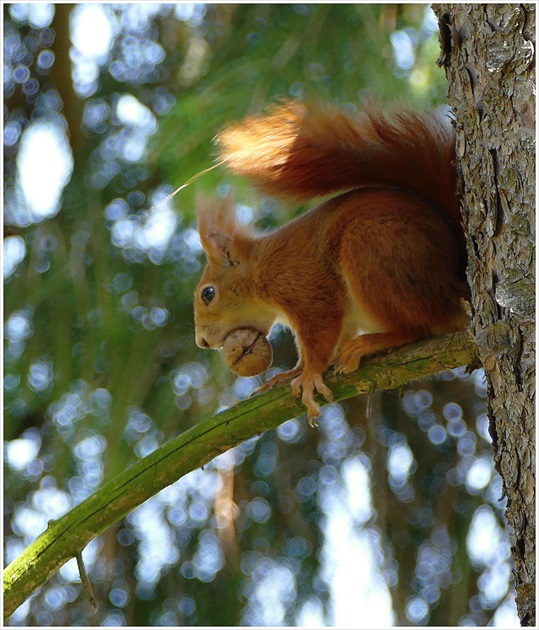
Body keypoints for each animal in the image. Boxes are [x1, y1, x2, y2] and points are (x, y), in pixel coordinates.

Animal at [193, 101, 468, 428]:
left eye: (208, 294)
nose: (201, 342)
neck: (261, 269)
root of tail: (454, 283)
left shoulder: (303, 286)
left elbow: (321, 334)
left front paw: (309, 376)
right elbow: (332, 335)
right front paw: (293, 372)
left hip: (369, 251)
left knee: (421, 326)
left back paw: (373, 342)